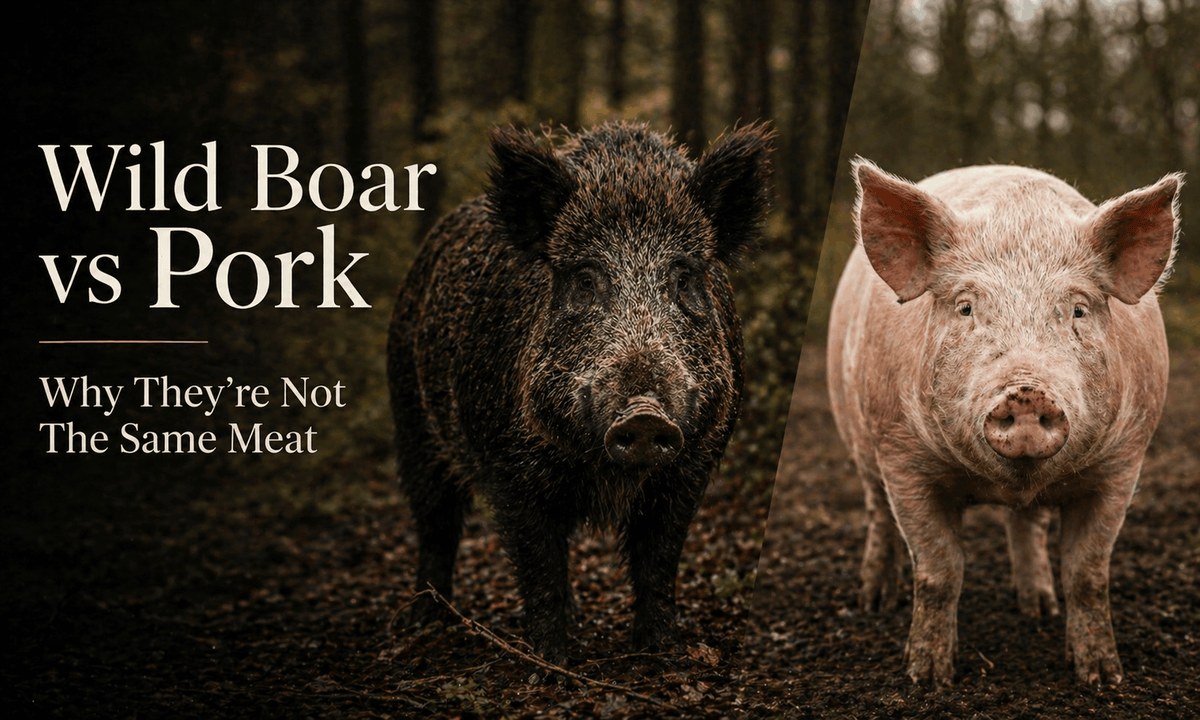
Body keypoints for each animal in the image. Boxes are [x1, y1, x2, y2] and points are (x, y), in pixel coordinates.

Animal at [387, 121, 773, 665]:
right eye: (586, 278)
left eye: (683, 278)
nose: (644, 414)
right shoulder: (510, 469)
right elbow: (539, 564)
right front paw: (550, 662)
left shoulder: (693, 465)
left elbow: (659, 561)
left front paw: (664, 652)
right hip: (413, 422)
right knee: (435, 524)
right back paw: (424, 620)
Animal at [827, 159, 1183, 685]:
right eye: (966, 307)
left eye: (1078, 309)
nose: (1026, 391)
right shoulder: (902, 457)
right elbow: (938, 570)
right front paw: (927, 677)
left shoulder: (1124, 461)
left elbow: (1088, 574)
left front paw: (1102, 677)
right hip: (858, 435)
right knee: (877, 514)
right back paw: (873, 601)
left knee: (1027, 523)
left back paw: (1037, 608)